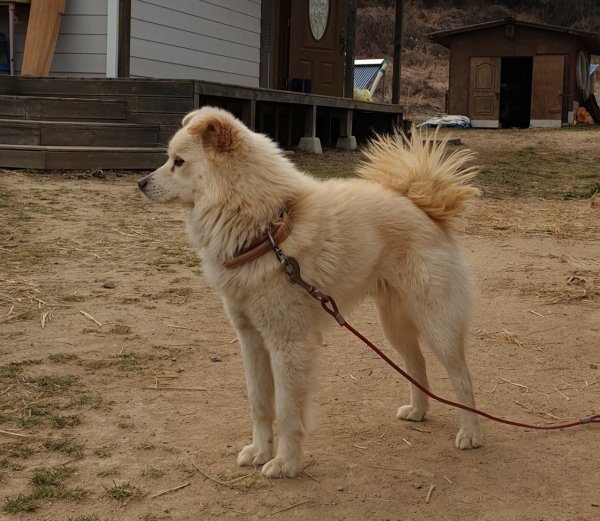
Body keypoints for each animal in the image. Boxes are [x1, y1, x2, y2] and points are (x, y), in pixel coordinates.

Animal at [139, 107, 482, 478]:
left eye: (178, 162)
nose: (140, 184)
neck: (265, 228)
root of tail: (422, 208)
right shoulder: (251, 338)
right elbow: (260, 403)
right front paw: (260, 451)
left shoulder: (288, 344)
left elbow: (288, 412)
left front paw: (286, 462)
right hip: (395, 326)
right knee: (416, 365)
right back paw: (418, 411)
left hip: (436, 324)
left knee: (462, 377)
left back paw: (471, 433)